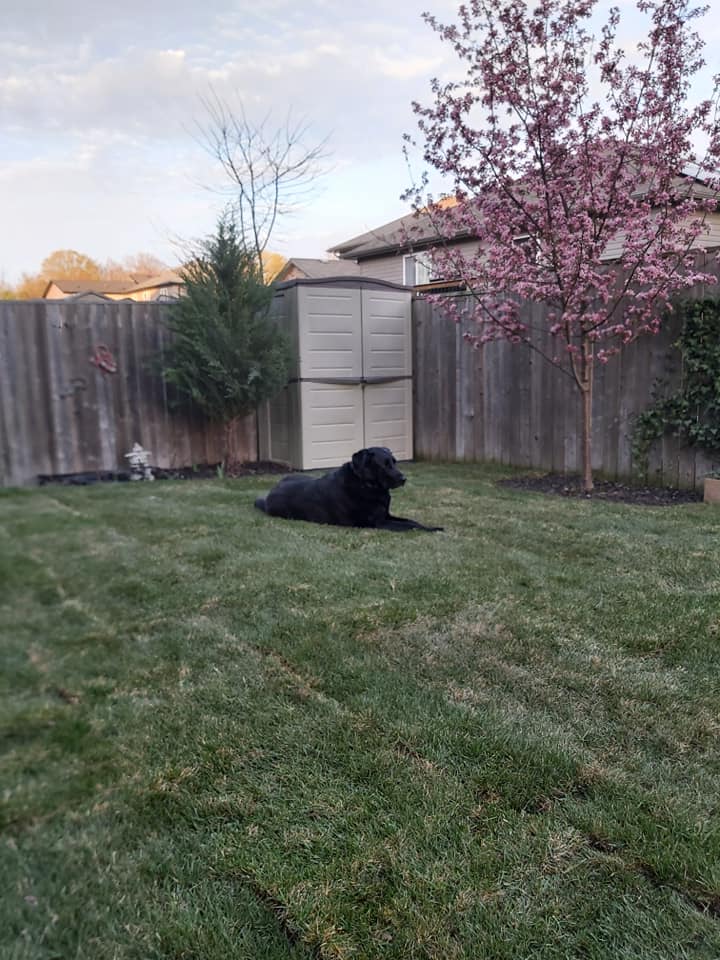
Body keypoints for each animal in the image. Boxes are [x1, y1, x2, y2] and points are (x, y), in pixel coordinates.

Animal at [253, 448, 444, 532]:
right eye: (384, 464)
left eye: (395, 462)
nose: (404, 479)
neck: (366, 485)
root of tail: (269, 495)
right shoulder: (379, 523)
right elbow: (410, 526)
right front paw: (432, 529)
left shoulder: (386, 515)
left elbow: (412, 521)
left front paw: (431, 526)